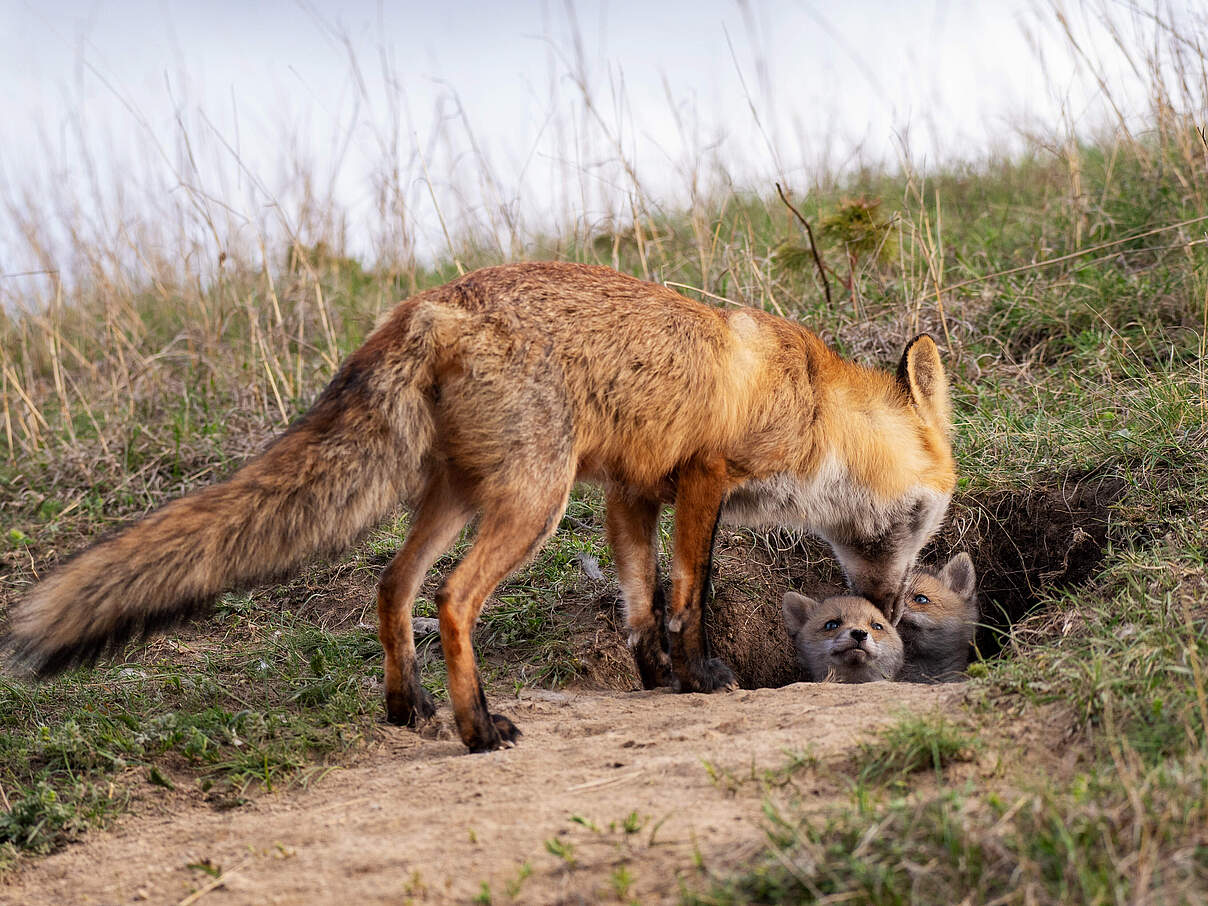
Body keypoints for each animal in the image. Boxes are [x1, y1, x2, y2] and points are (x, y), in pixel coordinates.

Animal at [3, 262, 955, 753]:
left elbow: (639, 603)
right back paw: (476, 726)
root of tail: (431, 305)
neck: (811, 404)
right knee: (451, 599)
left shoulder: (628, 493)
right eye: (927, 520)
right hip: (533, 503)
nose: (882, 612)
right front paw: (699, 676)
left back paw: (407, 707)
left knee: (392, 585)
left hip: (463, 497)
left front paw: (655, 680)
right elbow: (690, 593)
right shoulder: (701, 480)